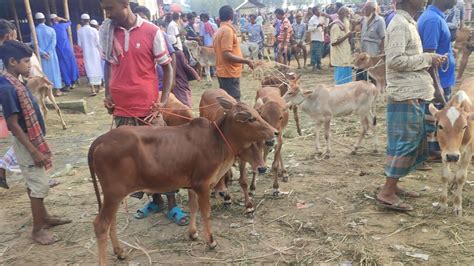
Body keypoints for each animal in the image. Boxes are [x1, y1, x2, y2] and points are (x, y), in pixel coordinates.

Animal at [89, 98, 276, 266]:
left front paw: (193, 234)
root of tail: (101, 139)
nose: (274, 133)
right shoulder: (203, 185)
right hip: (114, 193)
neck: (217, 140)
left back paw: (120, 252)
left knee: (111, 221)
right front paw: (211, 241)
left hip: (114, 196)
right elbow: (205, 213)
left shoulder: (192, 185)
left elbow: (193, 207)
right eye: (251, 119)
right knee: (101, 225)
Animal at [428, 77, 474, 216]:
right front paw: (442, 204)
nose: (453, 156)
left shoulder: (468, 151)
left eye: (464, 126)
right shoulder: (444, 151)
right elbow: (445, 176)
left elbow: (461, 177)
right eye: (440, 126)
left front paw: (457, 205)